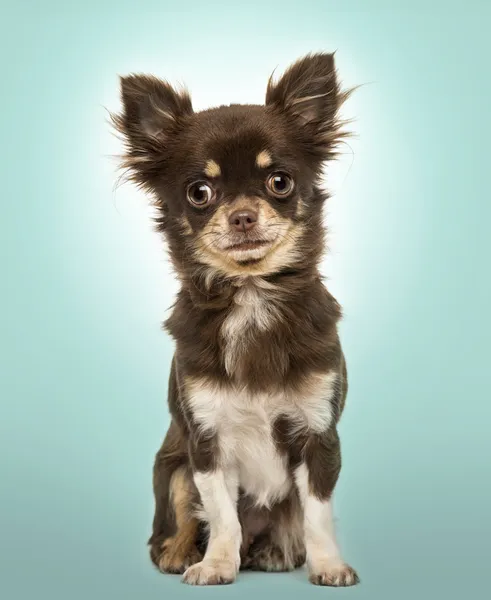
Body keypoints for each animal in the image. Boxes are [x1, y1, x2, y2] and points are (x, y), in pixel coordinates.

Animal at [112, 51, 358, 584]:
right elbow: (222, 515)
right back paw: (180, 552)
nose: (243, 215)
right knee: (181, 516)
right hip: (174, 464)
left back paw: (277, 552)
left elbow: (318, 515)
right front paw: (216, 564)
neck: (251, 298)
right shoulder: (205, 444)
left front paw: (329, 565)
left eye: (279, 182)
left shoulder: (318, 438)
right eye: (199, 192)